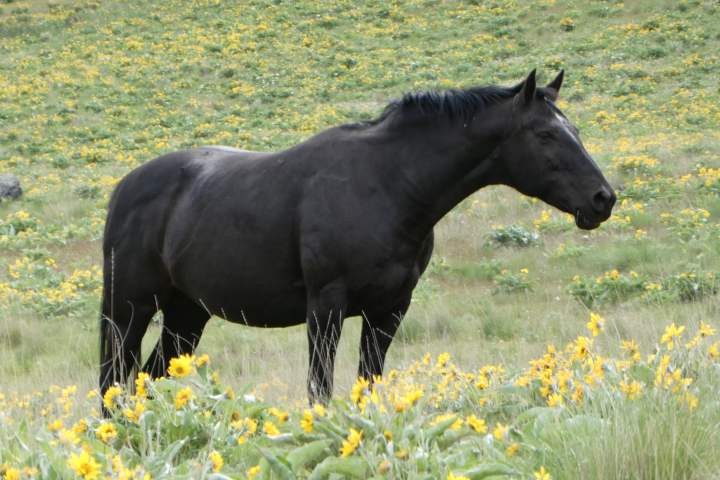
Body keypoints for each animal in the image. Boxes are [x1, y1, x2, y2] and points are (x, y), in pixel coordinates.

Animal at [99, 69, 615, 407]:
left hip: (187, 313)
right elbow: (320, 391)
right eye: (546, 134)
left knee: (146, 379)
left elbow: (368, 387)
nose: (603, 199)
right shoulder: (325, 308)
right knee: (113, 381)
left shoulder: (388, 311)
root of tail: (125, 187)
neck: (387, 185)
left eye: (573, 128)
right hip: (130, 309)